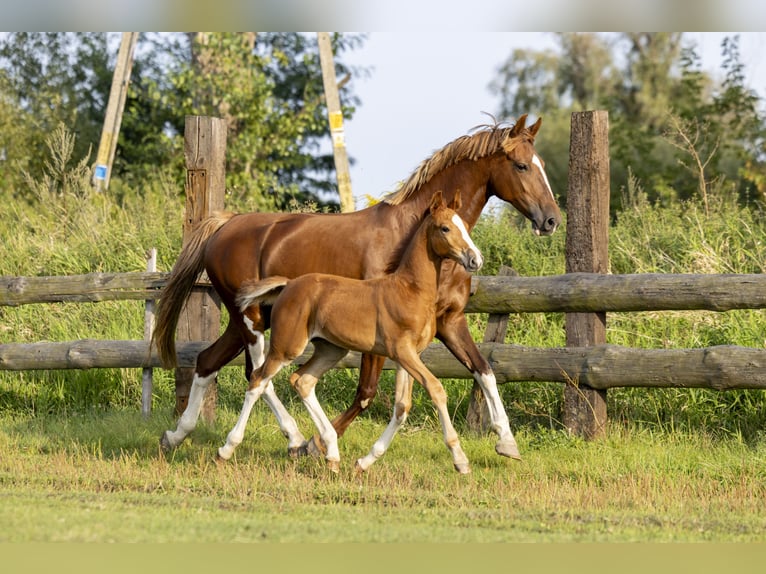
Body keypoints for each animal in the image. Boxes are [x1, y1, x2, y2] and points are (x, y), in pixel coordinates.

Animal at [216, 191, 480, 474]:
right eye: (445, 228)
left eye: (465, 226)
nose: (475, 259)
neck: (410, 290)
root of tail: (288, 284)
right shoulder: (401, 351)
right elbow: (436, 389)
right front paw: (461, 460)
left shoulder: (410, 356)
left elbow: (402, 406)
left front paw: (365, 461)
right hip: (286, 347)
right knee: (257, 380)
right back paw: (226, 449)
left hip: (331, 349)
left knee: (302, 381)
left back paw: (331, 455)